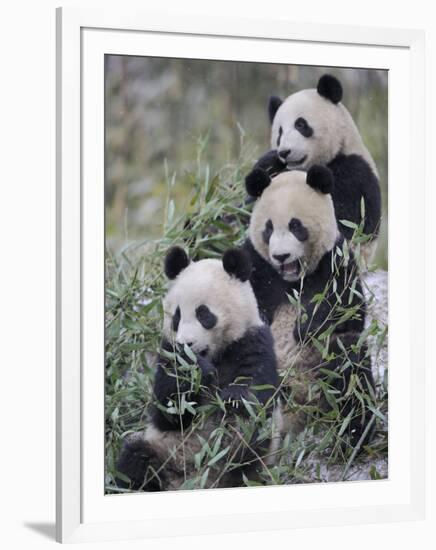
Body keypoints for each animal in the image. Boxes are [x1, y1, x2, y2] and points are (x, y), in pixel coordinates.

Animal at [116, 248, 280, 494]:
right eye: (176, 316)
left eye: (204, 314)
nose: (187, 344)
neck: (213, 354)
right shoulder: (168, 352)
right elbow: (169, 410)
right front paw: (196, 371)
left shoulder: (253, 340)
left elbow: (257, 390)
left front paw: (232, 398)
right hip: (161, 449)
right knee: (134, 460)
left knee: (248, 442)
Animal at [244, 165, 376, 448]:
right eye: (268, 229)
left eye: (295, 226)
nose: (281, 256)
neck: (293, 280)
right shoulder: (256, 265)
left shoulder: (336, 261)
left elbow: (347, 310)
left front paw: (304, 326)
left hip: (325, 371)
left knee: (350, 368)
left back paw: (352, 437)